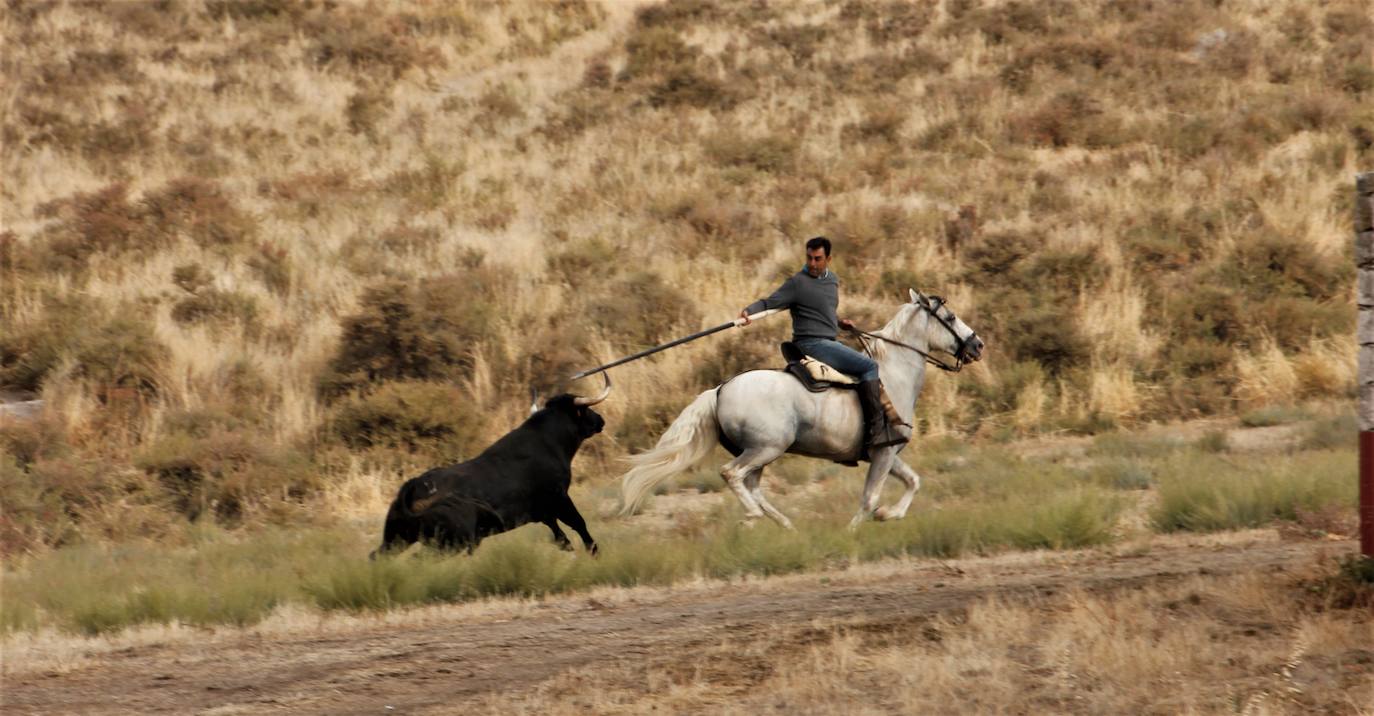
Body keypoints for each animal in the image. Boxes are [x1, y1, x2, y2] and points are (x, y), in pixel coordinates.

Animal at [376, 393, 612, 555]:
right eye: (585, 410)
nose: (601, 419)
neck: (548, 441)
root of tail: (414, 484)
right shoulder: (560, 497)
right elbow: (578, 523)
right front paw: (594, 551)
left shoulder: (544, 512)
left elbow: (560, 535)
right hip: (450, 543)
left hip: (396, 538)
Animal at [618, 287, 983, 527]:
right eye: (950, 316)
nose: (977, 345)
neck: (893, 374)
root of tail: (720, 389)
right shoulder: (883, 453)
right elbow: (868, 500)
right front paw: (854, 533)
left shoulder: (888, 454)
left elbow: (913, 482)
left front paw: (889, 514)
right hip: (765, 449)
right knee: (733, 475)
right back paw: (756, 516)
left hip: (762, 452)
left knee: (753, 487)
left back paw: (785, 526)